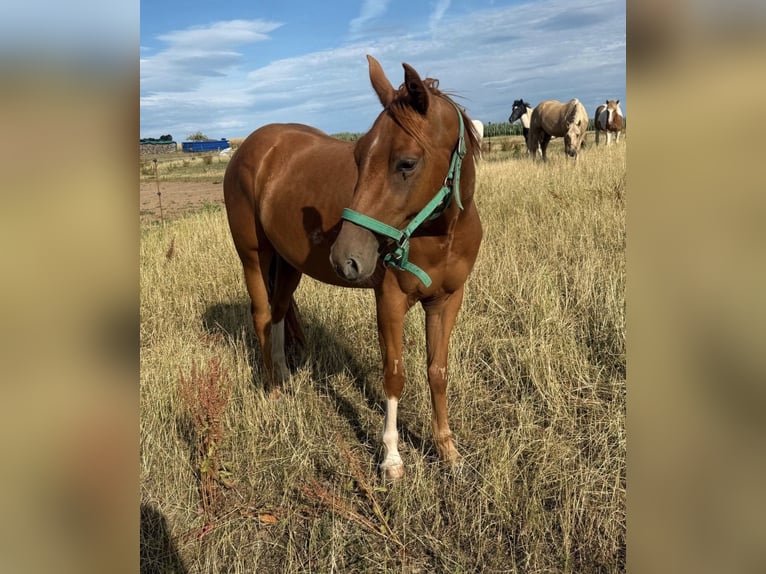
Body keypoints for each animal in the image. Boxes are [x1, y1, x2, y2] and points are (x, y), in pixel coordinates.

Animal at [223, 55, 482, 480]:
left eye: (406, 163)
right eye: (359, 157)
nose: (346, 257)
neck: (439, 235)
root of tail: (253, 146)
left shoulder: (447, 300)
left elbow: (437, 371)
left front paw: (448, 451)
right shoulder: (390, 300)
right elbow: (394, 374)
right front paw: (391, 458)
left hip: (290, 264)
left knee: (278, 312)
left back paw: (285, 377)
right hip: (253, 256)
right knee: (261, 315)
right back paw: (273, 390)